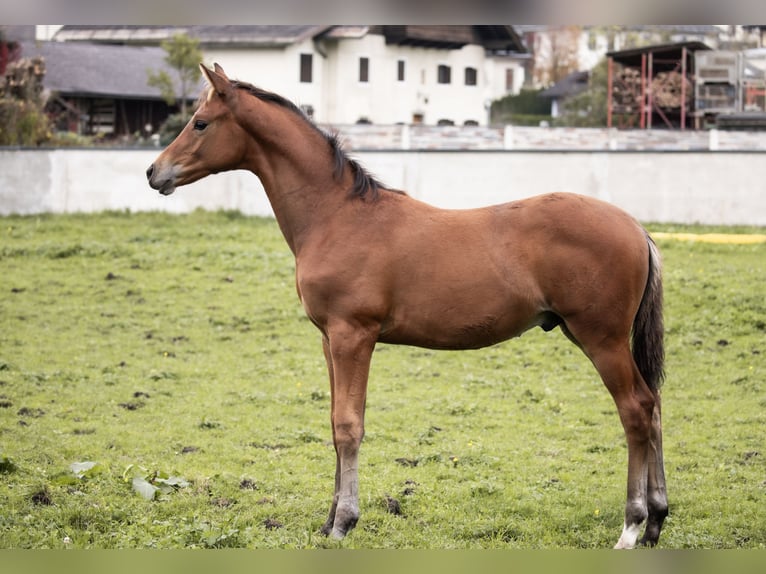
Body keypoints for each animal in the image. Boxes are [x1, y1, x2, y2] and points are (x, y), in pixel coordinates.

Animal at [147, 63, 668, 548]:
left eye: (200, 122)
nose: (154, 172)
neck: (336, 216)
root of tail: (636, 229)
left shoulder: (353, 335)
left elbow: (348, 426)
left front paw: (344, 523)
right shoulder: (329, 339)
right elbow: (333, 423)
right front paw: (327, 522)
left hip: (600, 338)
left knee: (636, 409)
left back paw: (631, 526)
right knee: (654, 405)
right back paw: (657, 521)